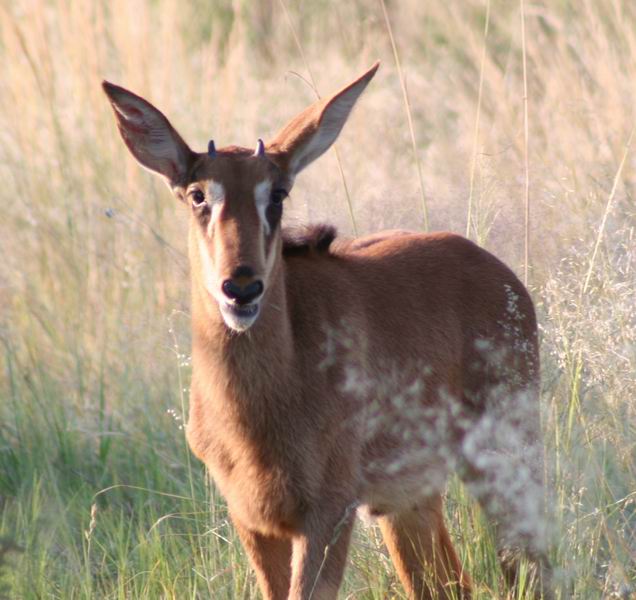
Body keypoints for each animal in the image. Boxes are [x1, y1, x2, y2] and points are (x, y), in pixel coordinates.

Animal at [104, 64, 552, 600]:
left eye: (277, 194)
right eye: (198, 195)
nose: (241, 287)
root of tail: (502, 276)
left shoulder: (328, 512)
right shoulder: (253, 520)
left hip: (504, 457)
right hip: (407, 501)